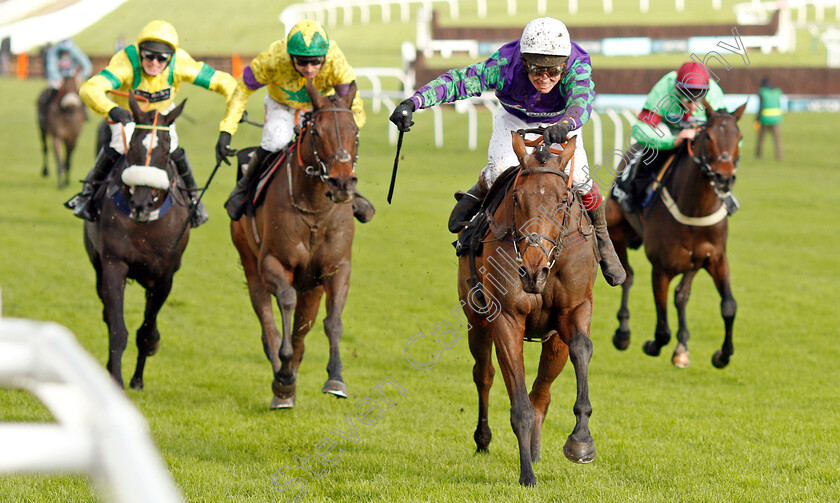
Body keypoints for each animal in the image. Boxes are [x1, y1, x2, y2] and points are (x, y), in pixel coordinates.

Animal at [82, 95, 192, 394]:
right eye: (131, 147)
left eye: (165, 151)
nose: (141, 203)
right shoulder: (113, 264)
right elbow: (117, 328)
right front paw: (116, 379)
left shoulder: (165, 276)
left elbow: (147, 331)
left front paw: (137, 377)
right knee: (108, 316)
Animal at [231, 79, 360, 410]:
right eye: (318, 132)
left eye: (355, 130)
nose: (342, 184)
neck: (314, 210)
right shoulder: (273, 264)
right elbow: (285, 302)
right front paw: (284, 379)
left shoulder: (336, 268)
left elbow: (333, 322)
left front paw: (336, 378)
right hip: (250, 264)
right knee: (269, 326)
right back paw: (282, 384)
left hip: (312, 287)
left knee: (302, 330)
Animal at [462, 132, 600, 486]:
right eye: (517, 198)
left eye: (563, 201)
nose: (533, 271)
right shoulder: (506, 318)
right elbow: (518, 402)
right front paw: (527, 474)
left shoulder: (575, 309)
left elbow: (582, 348)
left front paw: (581, 442)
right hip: (476, 320)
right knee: (484, 374)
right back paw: (483, 439)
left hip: (553, 340)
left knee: (542, 392)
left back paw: (537, 449)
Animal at [604, 101, 748, 370]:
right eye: (708, 136)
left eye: (739, 137)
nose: (724, 178)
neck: (694, 208)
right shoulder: (661, 268)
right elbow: (662, 330)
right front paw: (651, 345)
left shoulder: (715, 258)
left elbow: (729, 306)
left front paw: (723, 355)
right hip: (617, 234)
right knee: (627, 276)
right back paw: (623, 333)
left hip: (693, 261)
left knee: (682, 295)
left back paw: (682, 347)